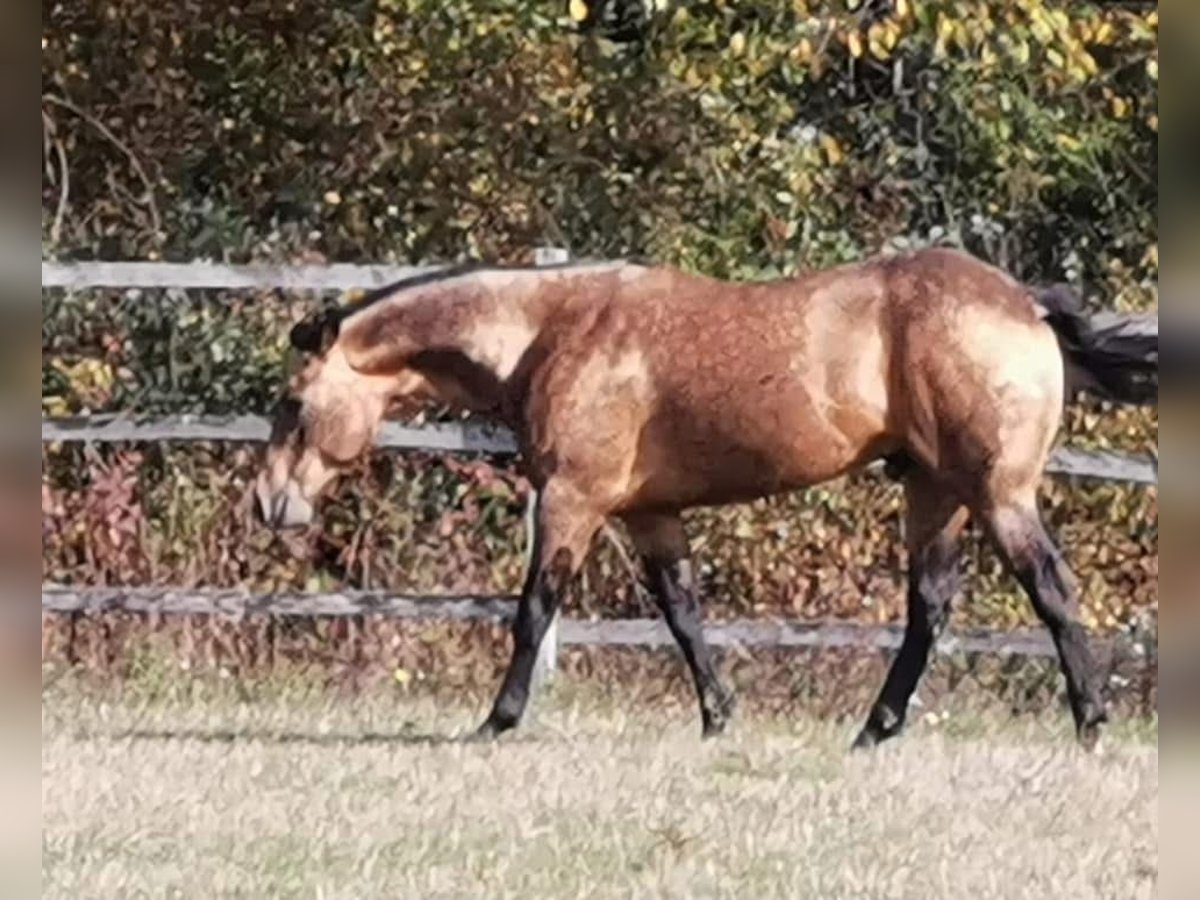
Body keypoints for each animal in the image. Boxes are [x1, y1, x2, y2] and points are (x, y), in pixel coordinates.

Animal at [250, 244, 1152, 748]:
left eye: (292, 404)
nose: (267, 505)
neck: (549, 331)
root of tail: (1025, 303)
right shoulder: (651, 516)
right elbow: (683, 615)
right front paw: (719, 717)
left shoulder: (572, 500)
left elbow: (533, 610)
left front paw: (498, 720)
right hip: (936, 494)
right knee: (929, 608)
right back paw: (873, 730)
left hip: (999, 494)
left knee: (1051, 591)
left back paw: (1090, 722)